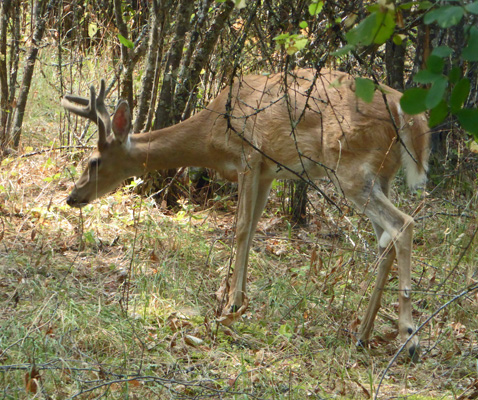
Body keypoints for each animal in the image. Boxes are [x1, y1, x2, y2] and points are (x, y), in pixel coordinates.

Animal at [62, 69, 430, 360]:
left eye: (94, 161)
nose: (72, 197)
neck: (210, 134)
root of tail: (404, 110)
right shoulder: (268, 171)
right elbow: (252, 230)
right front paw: (235, 298)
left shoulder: (249, 156)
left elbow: (240, 229)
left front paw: (231, 306)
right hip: (380, 174)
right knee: (385, 242)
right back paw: (363, 334)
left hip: (351, 167)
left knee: (404, 225)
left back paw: (408, 338)